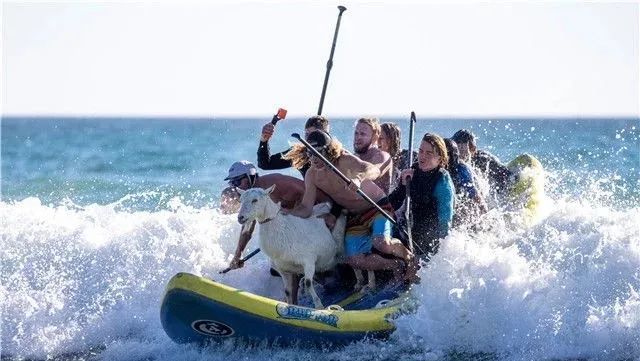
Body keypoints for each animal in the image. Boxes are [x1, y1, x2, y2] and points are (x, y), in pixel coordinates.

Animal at [238, 186, 372, 306]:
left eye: (255, 200)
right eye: (241, 200)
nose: (240, 218)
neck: (283, 229)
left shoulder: (308, 261)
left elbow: (308, 283)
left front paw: (319, 306)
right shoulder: (283, 270)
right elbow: (288, 291)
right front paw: (292, 305)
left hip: (341, 244)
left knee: (353, 261)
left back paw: (362, 283)